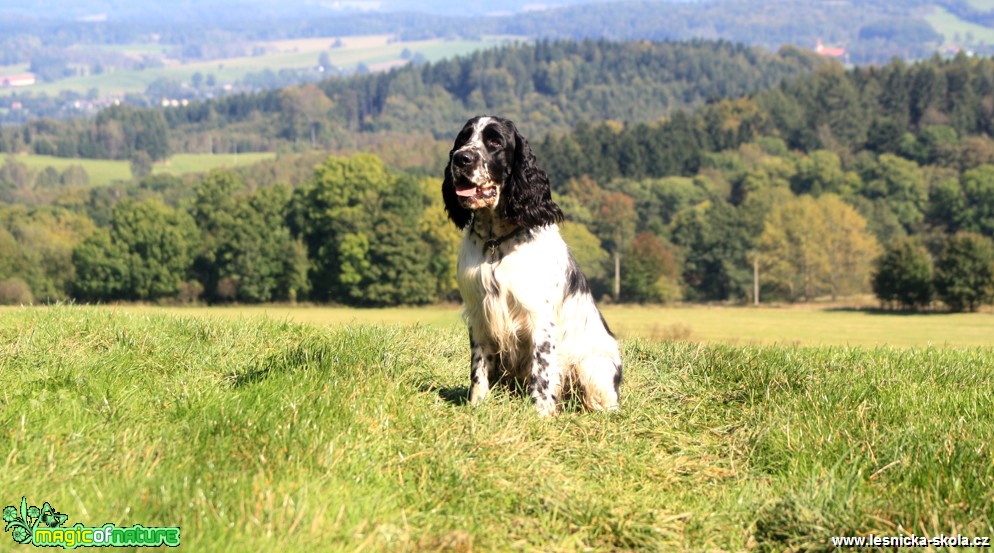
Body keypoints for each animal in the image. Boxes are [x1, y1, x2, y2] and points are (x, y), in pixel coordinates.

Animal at [442, 114, 620, 414]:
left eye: (495, 142)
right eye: (463, 138)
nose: (461, 158)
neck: (496, 241)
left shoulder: (540, 318)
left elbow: (542, 371)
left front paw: (541, 414)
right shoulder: (478, 313)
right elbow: (478, 368)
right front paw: (477, 406)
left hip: (595, 365)